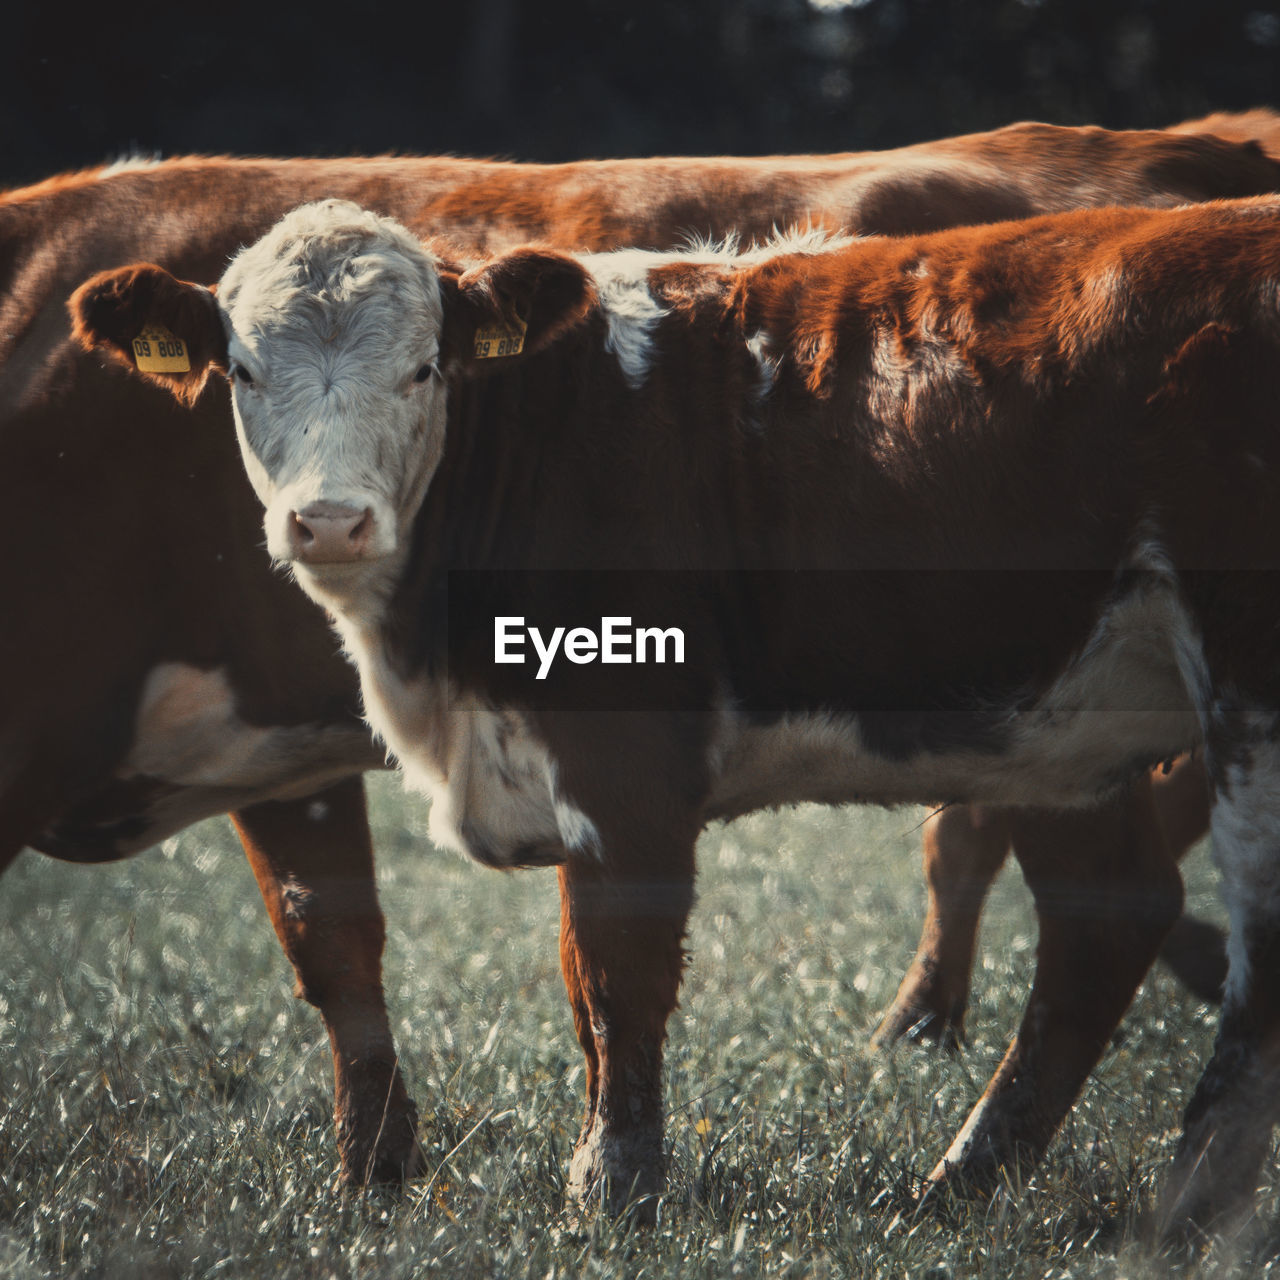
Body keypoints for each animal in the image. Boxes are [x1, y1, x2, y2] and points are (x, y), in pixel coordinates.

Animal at [5, 115, 1274, 1182]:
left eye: (423, 367)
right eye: (245, 369)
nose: (326, 521)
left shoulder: (620, 748)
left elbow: (615, 969)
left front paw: (610, 1189)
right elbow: (353, 943)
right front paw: (379, 1174)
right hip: (1056, 720)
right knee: (1100, 912)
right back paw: (961, 1179)